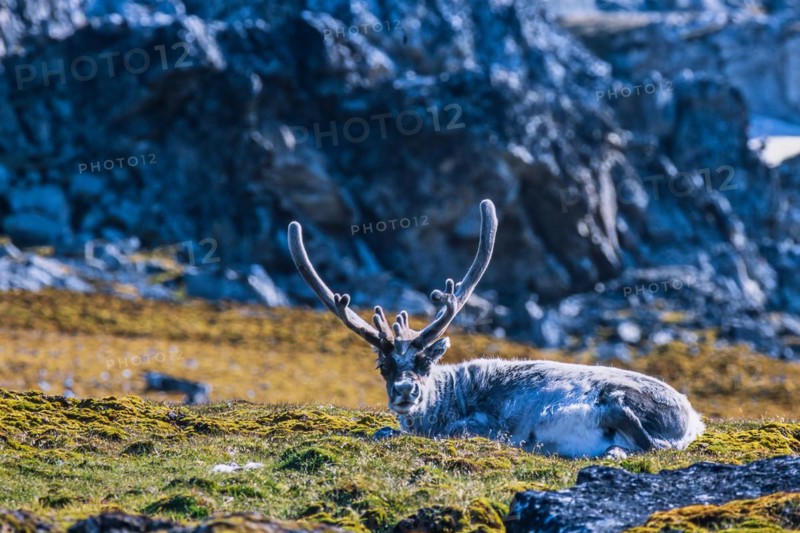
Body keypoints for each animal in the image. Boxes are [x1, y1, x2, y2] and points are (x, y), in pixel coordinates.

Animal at [287, 199, 705, 458]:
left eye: (424, 362)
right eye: (383, 366)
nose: (405, 391)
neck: (447, 397)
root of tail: (691, 421)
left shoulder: (480, 422)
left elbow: (446, 430)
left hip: (621, 400)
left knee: (644, 441)